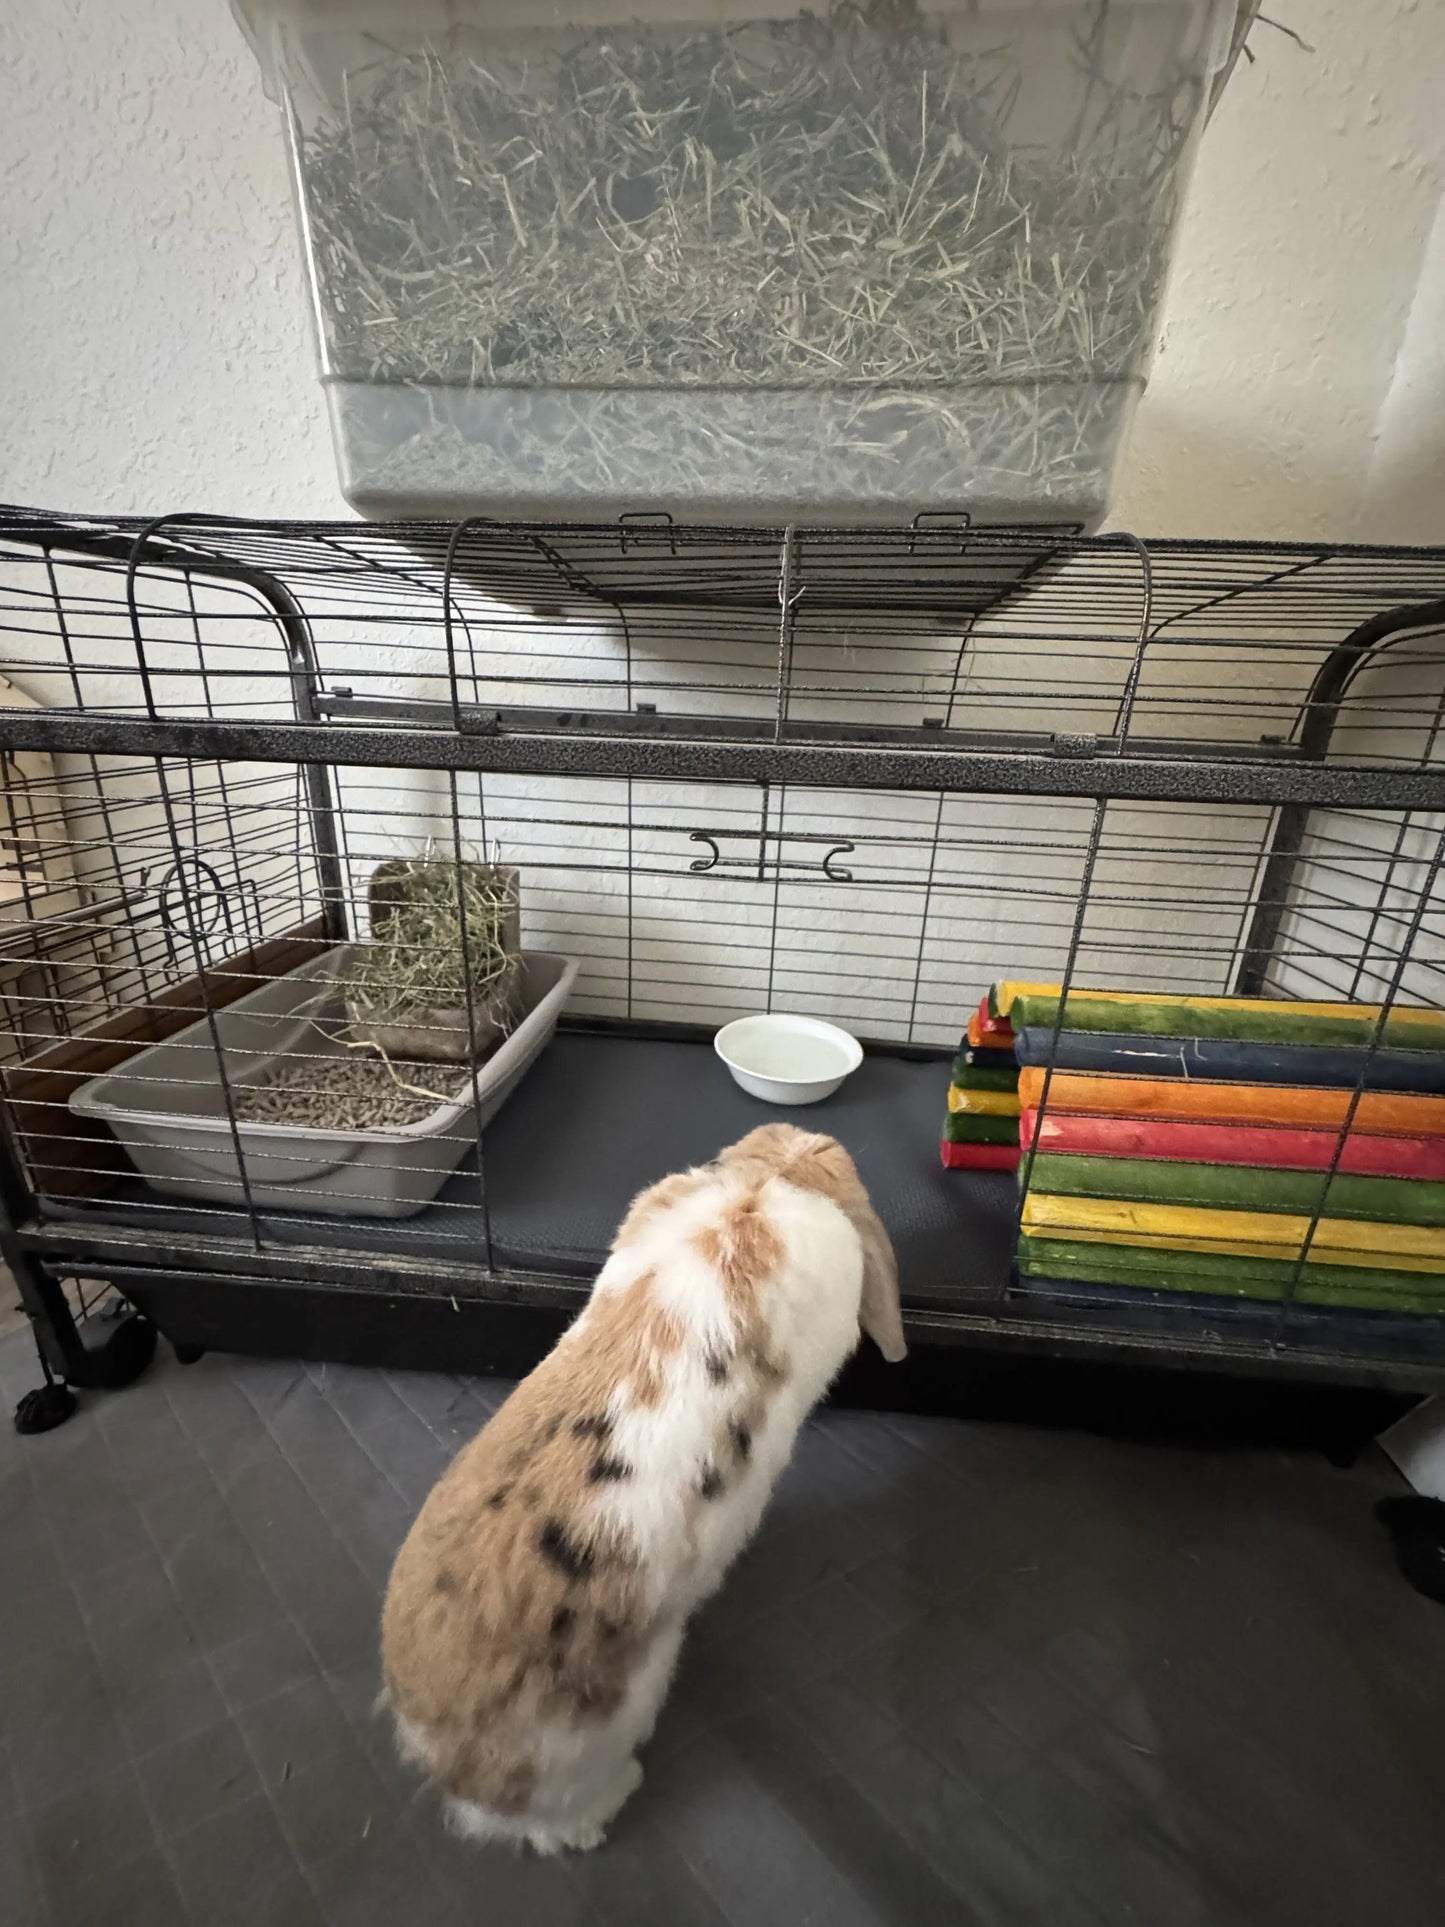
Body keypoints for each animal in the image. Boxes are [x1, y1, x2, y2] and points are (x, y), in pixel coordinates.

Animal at [380, 1121, 906, 1855]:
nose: (815, 1134)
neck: (761, 1186)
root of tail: (441, 1745)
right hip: (600, 1731)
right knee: (560, 1824)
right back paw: (614, 1798)